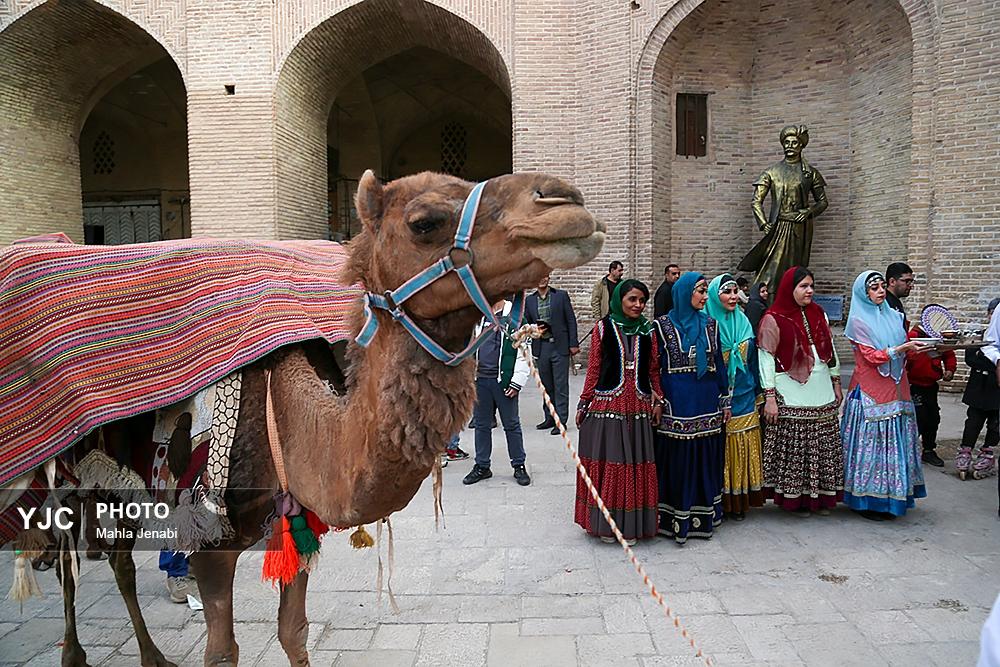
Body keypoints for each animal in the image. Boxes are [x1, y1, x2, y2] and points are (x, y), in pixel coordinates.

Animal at [35, 170, 600, 664]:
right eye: (424, 222)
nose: (567, 200)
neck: (280, 421)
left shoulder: (300, 522)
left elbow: (294, 633)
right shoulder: (210, 540)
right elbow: (222, 653)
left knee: (117, 558)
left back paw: (150, 654)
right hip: (69, 473)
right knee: (71, 555)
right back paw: (77, 651)